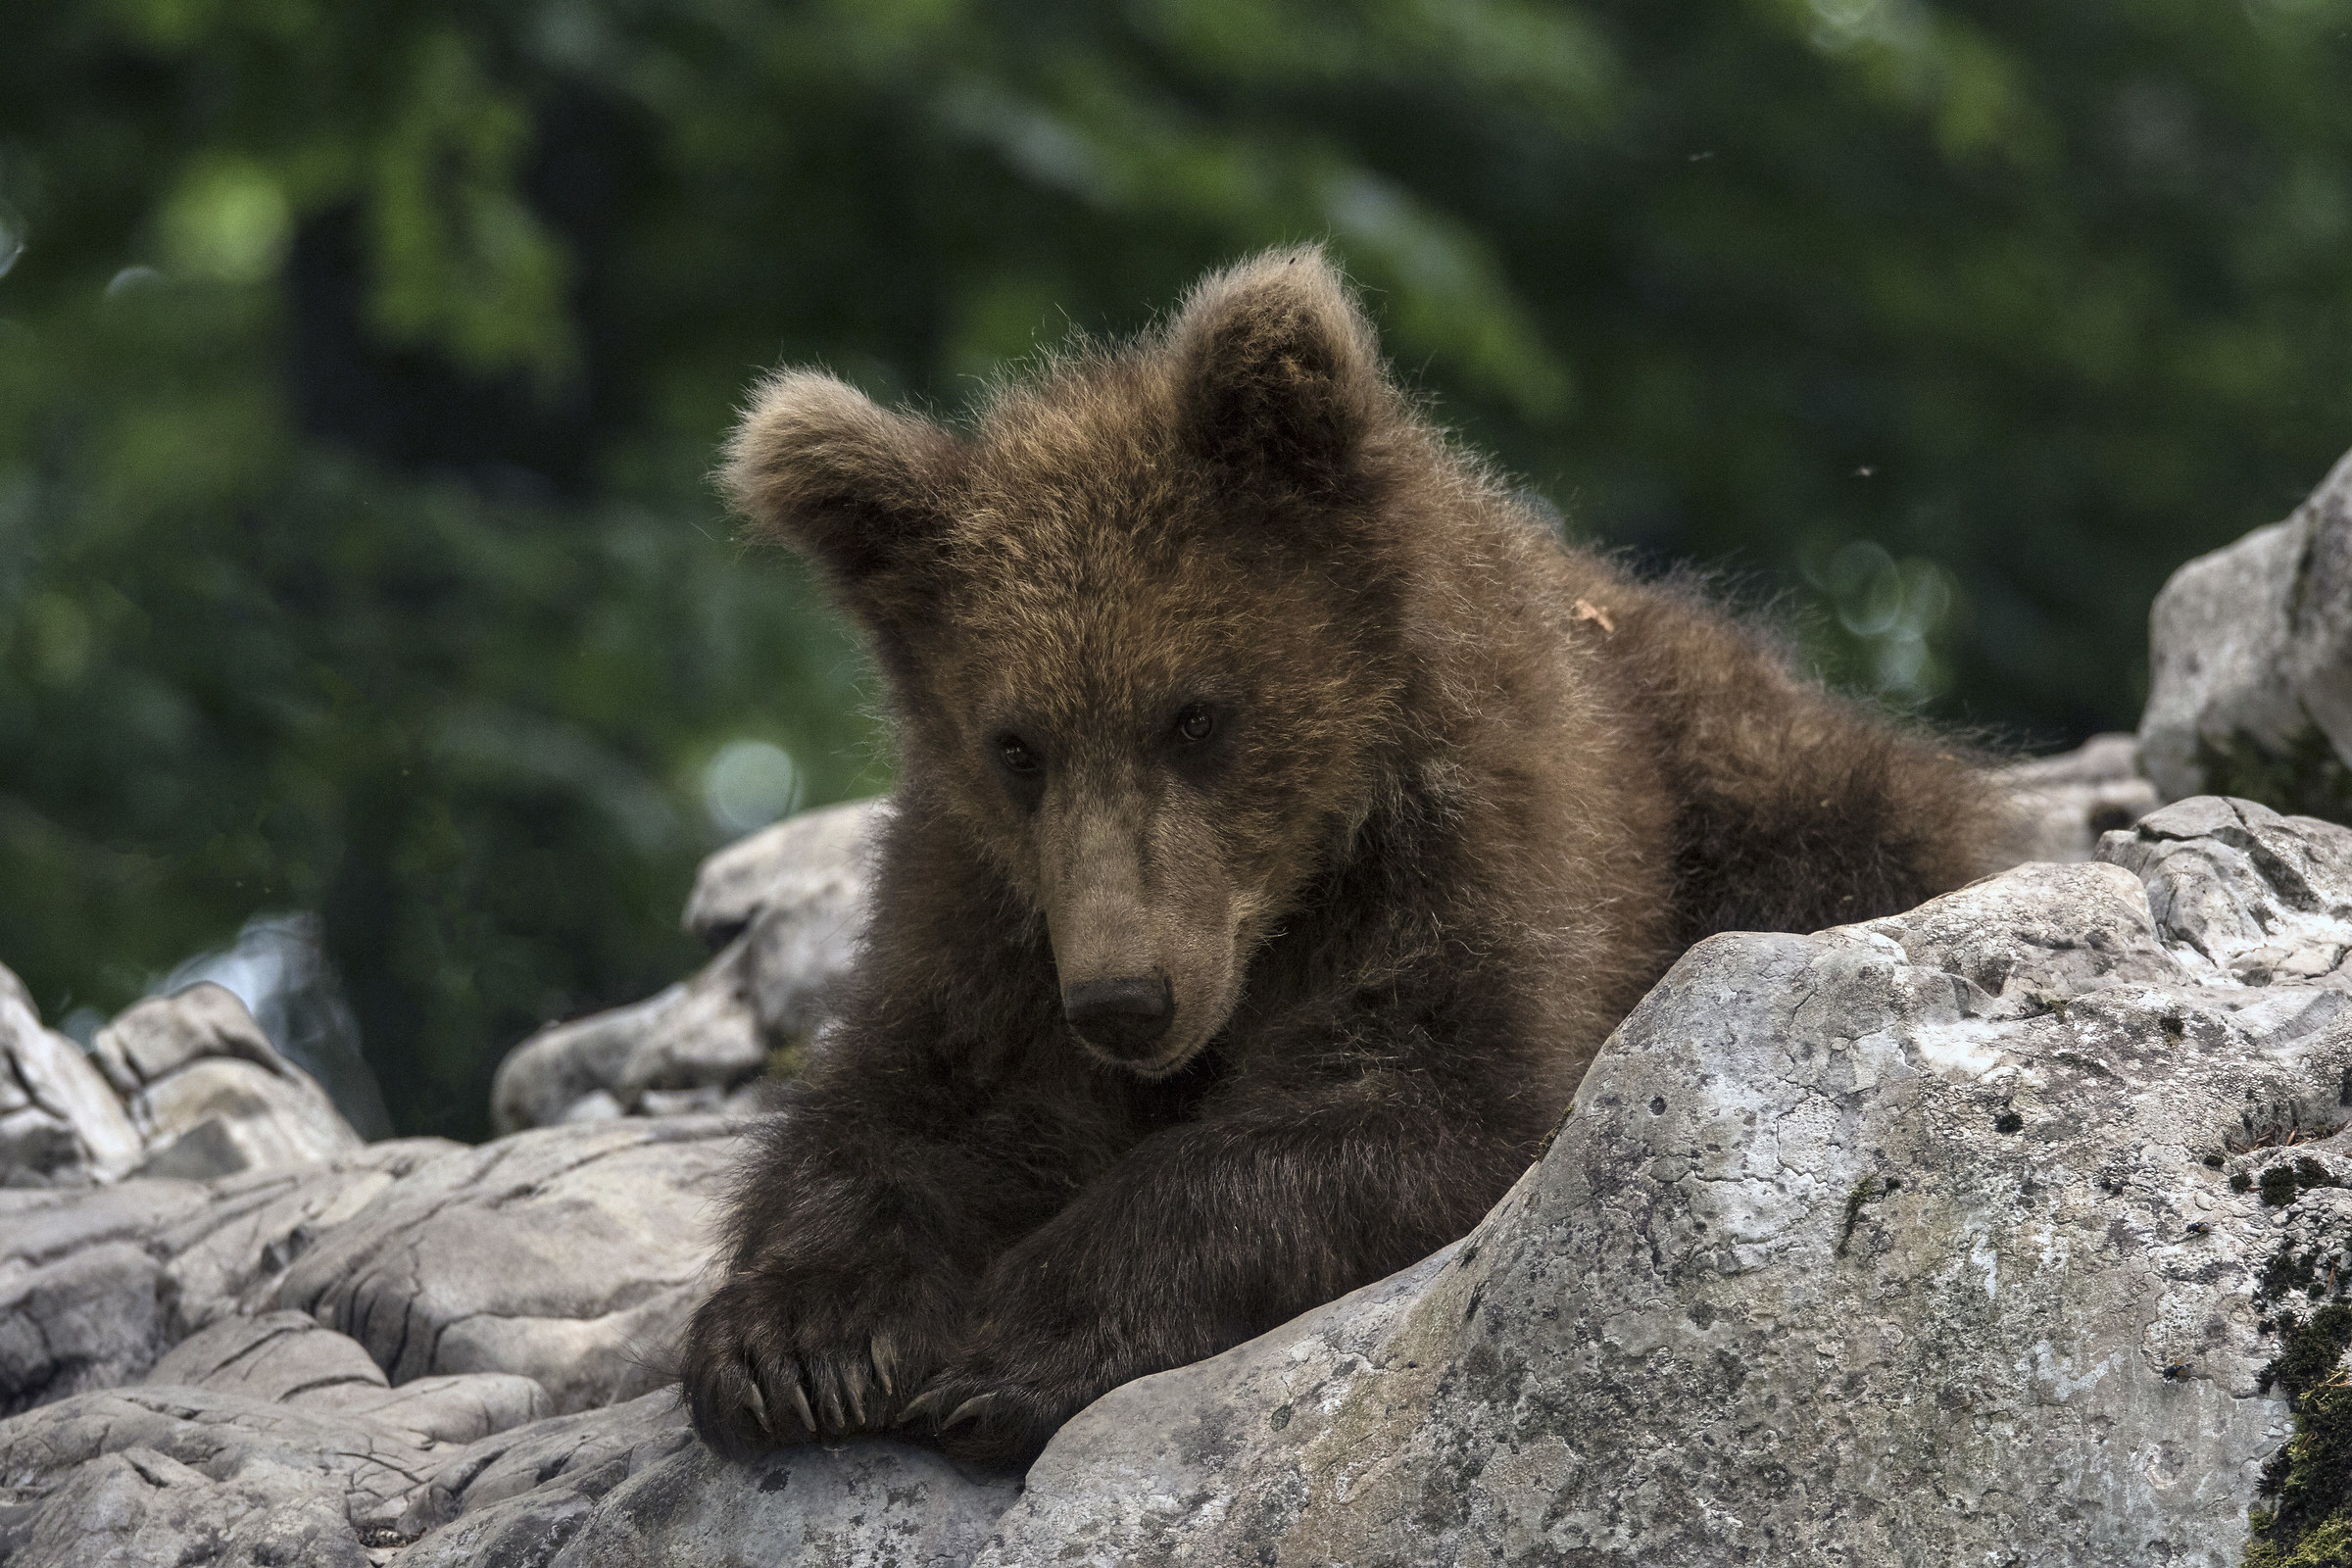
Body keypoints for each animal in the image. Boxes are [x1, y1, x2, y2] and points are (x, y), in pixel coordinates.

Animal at [682, 246, 1998, 1468]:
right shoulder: (991, 900)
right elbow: (915, 1101)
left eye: (1196, 714)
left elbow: (1423, 1105)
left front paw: (1019, 1344)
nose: (1124, 1000)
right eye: (1017, 744)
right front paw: (797, 1342)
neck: (1292, 892)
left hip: (1745, 776)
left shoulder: (1466, 854)